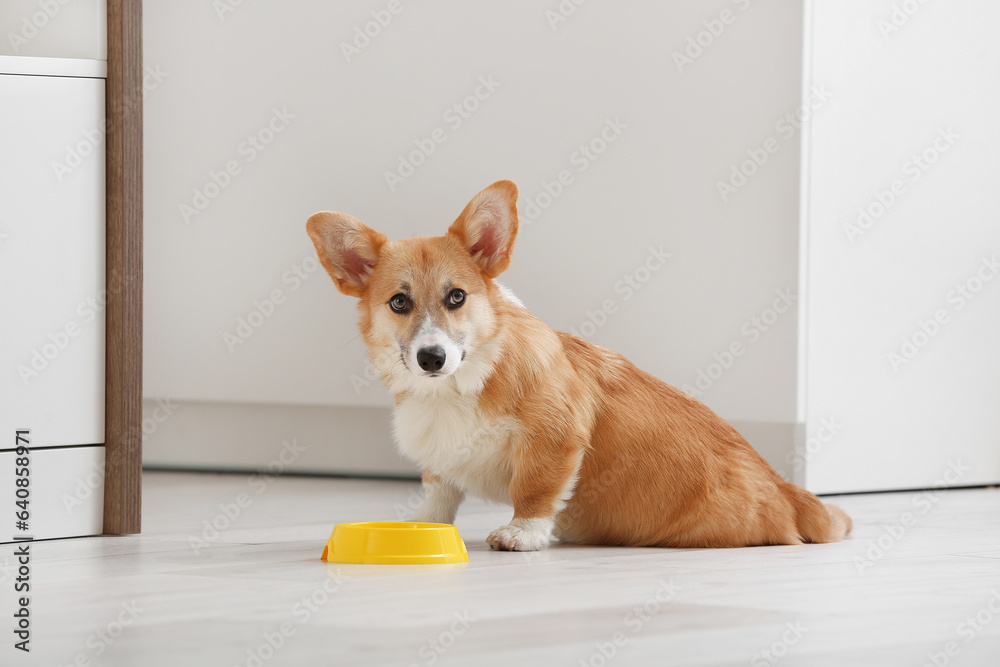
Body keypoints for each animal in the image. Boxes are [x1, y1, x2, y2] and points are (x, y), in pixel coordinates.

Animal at [306, 180, 852, 552]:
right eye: (399, 302)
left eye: (456, 296)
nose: (432, 357)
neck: (461, 383)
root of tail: (787, 490)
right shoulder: (440, 460)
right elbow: (440, 494)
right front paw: (425, 525)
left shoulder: (554, 438)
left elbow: (535, 489)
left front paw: (521, 533)